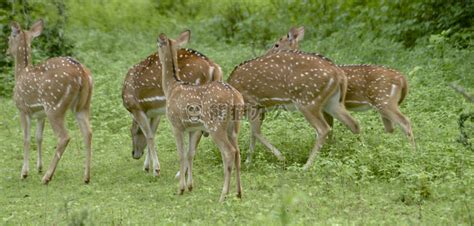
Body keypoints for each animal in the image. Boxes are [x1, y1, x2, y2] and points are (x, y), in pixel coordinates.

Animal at [6, 19, 92, 184]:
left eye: (9, 38)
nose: (7, 51)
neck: (20, 73)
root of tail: (81, 73)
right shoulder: (41, 114)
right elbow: (39, 137)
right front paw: (38, 167)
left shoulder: (23, 108)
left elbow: (26, 138)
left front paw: (24, 173)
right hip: (83, 105)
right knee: (88, 132)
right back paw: (86, 177)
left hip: (55, 106)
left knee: (64, 137)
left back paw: (47, 177)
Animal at [120, 38, 220, 177]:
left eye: (132, 131)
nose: (134, 153)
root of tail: (214, 68)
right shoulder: (155, 112)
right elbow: (152, 133)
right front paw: (146, 167)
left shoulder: (136, 108)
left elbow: (149, 136)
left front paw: (156, 170)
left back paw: (180, 173)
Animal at [158, 30, 243, 201]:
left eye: (158, 45)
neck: (171, 88)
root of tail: (235, 97)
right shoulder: (193, 128)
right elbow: (191, 153)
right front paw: (190, 186)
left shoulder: (176, 124)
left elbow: (181, 154)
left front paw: (181, 189)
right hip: (234, 126)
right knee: (237, 152)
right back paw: (238, 193)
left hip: (215, 124)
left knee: (229, 152)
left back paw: (223, 195)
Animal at [229, 35, 360, 170]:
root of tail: (339, 73)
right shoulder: (260, 108)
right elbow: (253, 134)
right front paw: (248, 162)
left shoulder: (253, 104)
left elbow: (255, 132)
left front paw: (281, 158)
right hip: (332, 102)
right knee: (354, 123)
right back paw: (356, 151)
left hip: (308, 100)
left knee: (323, 129)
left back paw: (306, 166)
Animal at [268, 26, 416, 147]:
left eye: (276, 44)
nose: (266, 53)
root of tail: (402, 78)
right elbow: (330, 129)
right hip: (383, 105)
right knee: (391, 128)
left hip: (384, 100)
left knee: (405, 121)